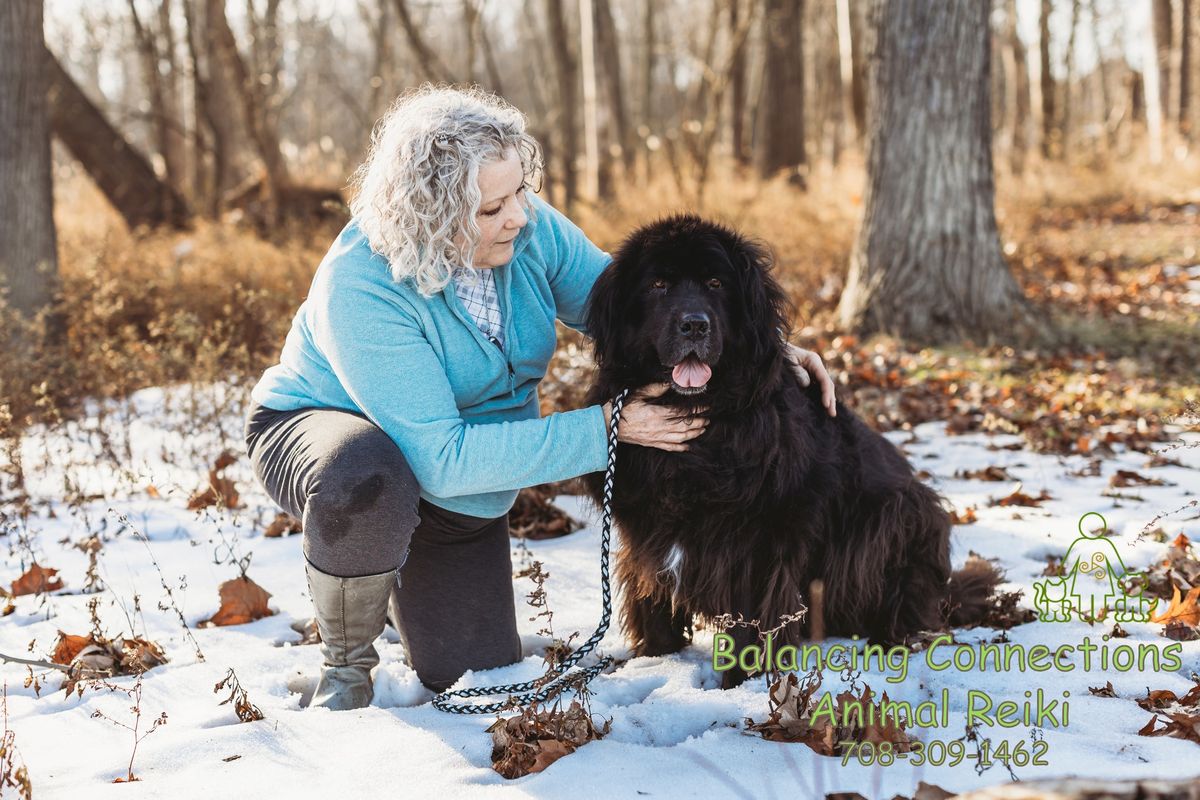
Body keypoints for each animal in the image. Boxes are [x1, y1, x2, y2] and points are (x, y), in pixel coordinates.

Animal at [580, 217, 993, 690]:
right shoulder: (648, 532)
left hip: (898, 513)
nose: (695, 325)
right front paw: (656, 656)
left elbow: (751, 617)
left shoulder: (760, 538)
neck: (701, 417)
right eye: (659, 285)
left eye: (716, 283)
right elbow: (653, 600)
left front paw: (741, 681)